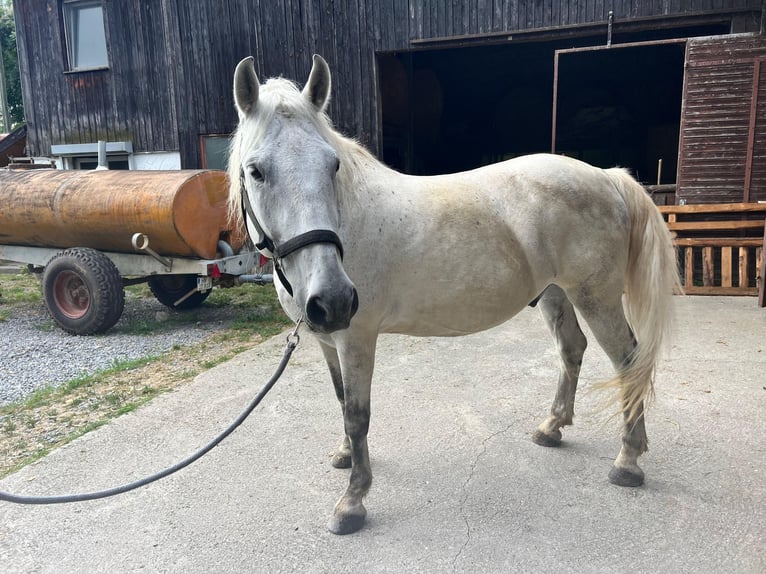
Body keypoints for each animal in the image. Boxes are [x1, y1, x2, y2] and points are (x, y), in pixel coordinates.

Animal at [228, 54, 684, 536]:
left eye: (332, 166)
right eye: (256, 171)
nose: (333, 299)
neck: (347, 223)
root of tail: (607, 177)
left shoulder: (356, 338)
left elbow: (357, 413)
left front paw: (352, 502)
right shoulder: (327, 339)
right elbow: (340, 400)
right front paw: (345, 457)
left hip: (596, 297)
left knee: (628, 361)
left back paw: (628, 460)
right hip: (557, 293)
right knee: (571, 348)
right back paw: (552, 427)